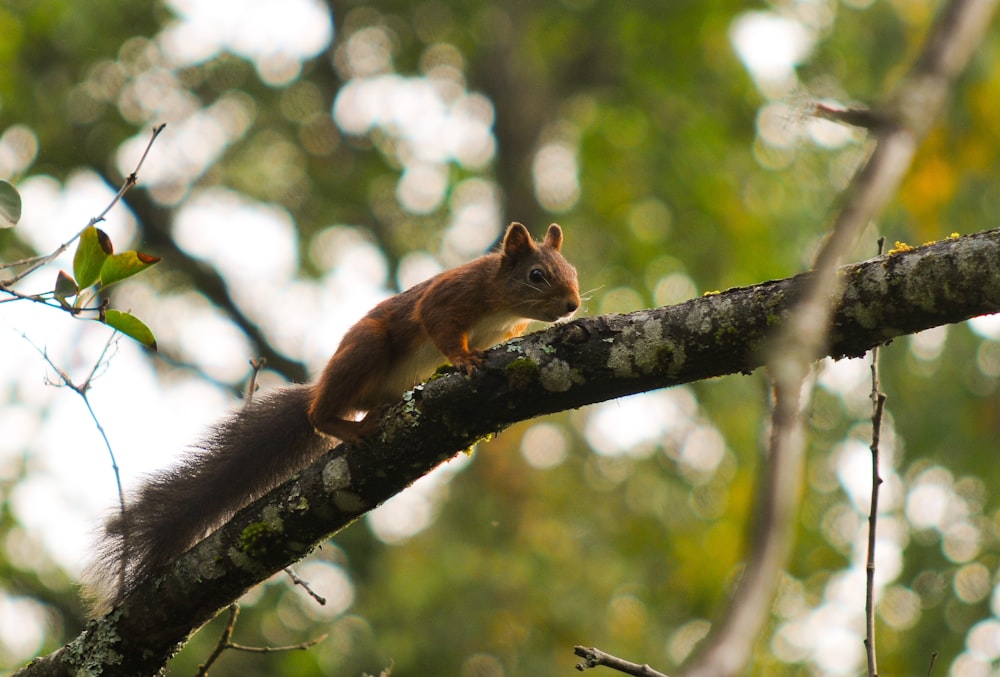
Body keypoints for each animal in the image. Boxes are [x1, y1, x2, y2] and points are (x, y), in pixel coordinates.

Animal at [90, 222, 584, 608]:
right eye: (537, 275)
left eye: (573, 272)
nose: (574, 305)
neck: (500, 305)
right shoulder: (449, 298)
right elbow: (439, 325)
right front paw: (463, 360)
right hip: (366, 348)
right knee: (318, 414)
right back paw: (344, 425)